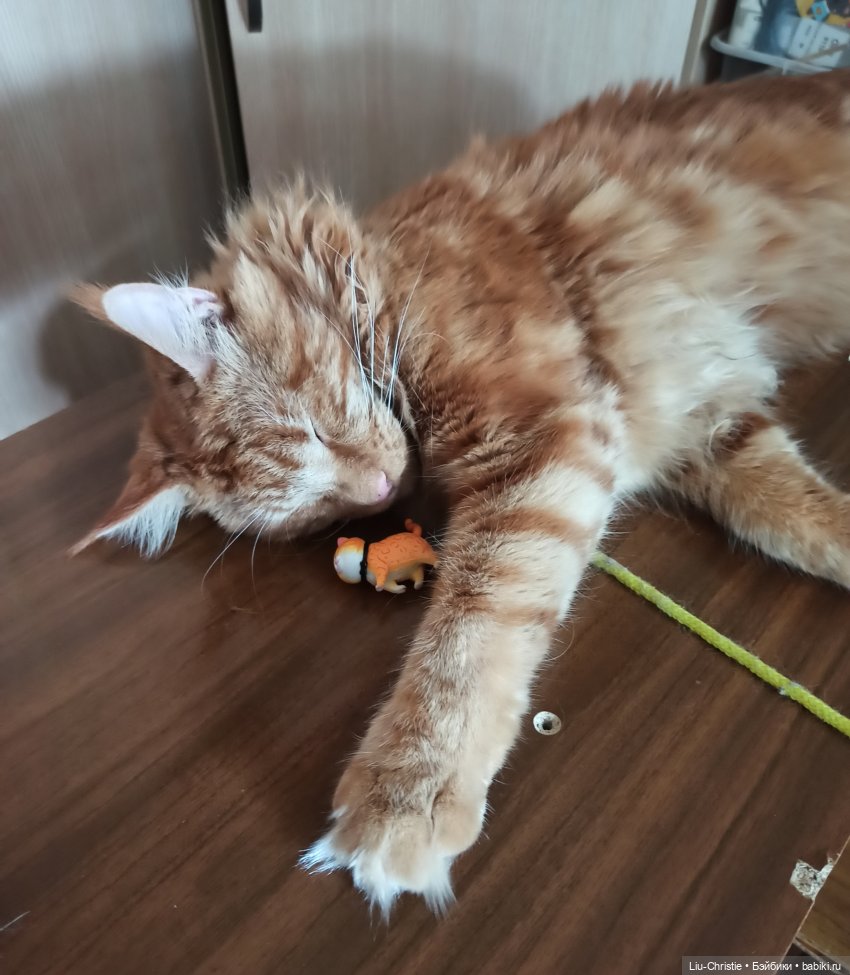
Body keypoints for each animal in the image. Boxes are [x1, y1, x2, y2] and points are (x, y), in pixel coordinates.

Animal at [73, 70, 850, 914]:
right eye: (314, 511)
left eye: (310, 432)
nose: (380, 486)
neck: (380, 268)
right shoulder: (698, 423)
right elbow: (800, 515)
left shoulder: (547, 437)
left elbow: (468, 636)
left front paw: (407, 793)